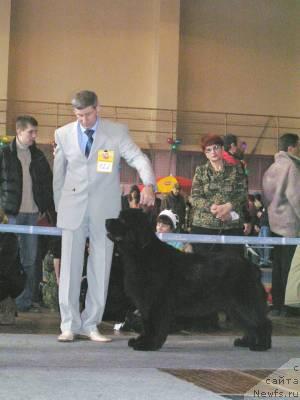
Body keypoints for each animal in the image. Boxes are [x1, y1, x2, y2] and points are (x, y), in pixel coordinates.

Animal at [106, 208, 272, 352]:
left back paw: (261, 346)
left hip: (244, 303)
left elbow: (154, 326)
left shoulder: (156, 303)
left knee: (261, 322)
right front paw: (141, 341)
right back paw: (246, 342)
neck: (141, 252)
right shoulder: (145, 304)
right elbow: (147, 325)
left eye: (122, 220)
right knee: (249, 324)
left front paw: (148, 344)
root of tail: (253, 267)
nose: (106, 220)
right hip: (234, 307)